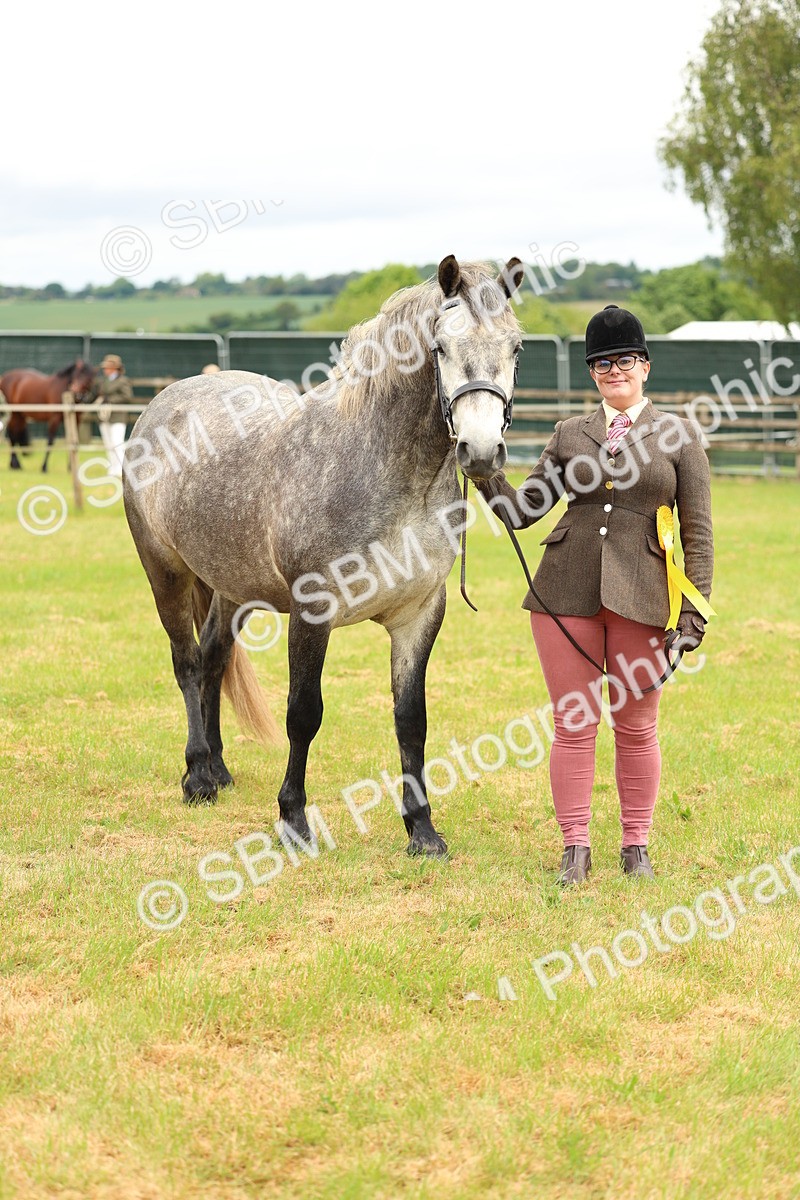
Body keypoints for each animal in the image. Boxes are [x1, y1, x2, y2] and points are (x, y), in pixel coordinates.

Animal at [123, 256, 524, 857]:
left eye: (517, 346)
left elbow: (411, 719)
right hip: (165, 574)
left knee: (215, 658)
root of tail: (164, 404)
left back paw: (218, 769)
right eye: (440, 347)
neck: (383, 469)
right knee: (189, 664)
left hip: (233, 587)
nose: (480, 451)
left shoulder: (419, 614)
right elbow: (303, 714)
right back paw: (197, 777)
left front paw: (422, 829)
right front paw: (293, 821)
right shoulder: (312, 612)